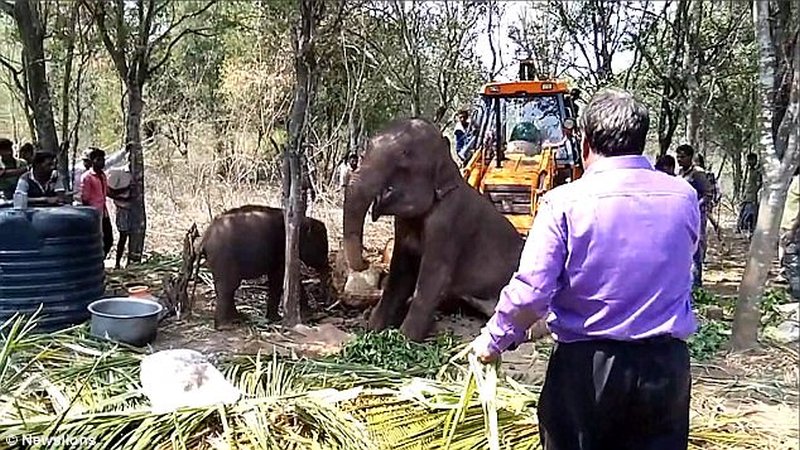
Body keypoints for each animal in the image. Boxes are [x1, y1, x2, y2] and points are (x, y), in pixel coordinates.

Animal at [197, 206, 332, 328]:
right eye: (322, 248)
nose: (323, 300)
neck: (301, 222)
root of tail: (204, 239)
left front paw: (309, 314)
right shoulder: (282, 248)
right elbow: (279, 277)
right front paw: (276, 318)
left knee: (227, 287)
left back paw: (238, 318)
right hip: (224, 257)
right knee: (228, 286)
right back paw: (225, 325)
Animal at [344, 117, 524, 342]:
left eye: (404, 155)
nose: (367, 261)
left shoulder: (449, 222)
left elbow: (433, 277)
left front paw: (405, 340)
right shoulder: (403, 224)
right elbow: (401, 272)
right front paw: (373, 330)